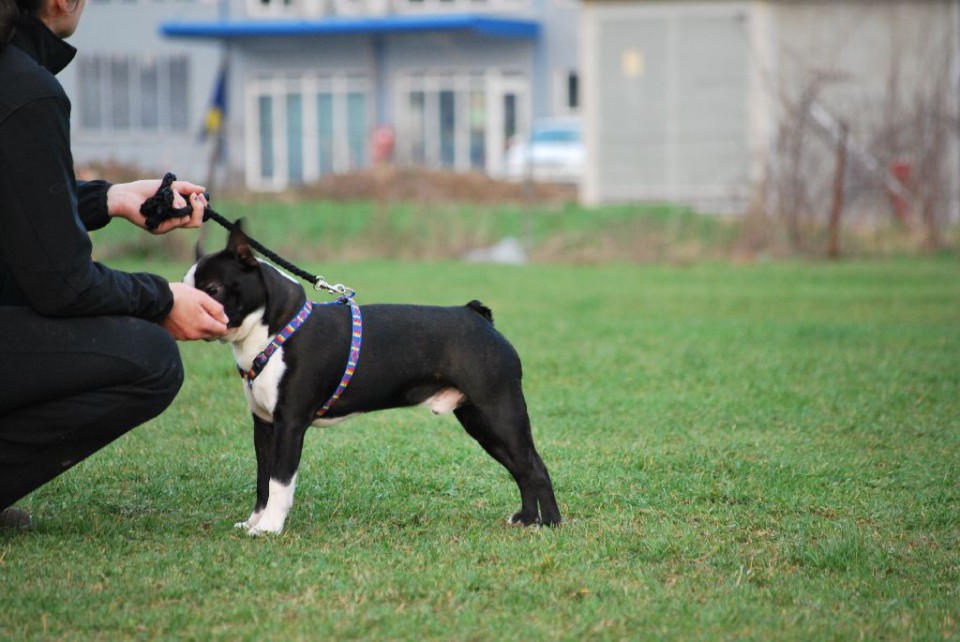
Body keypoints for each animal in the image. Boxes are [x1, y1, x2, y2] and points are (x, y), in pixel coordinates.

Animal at [184, 222, 560, 532]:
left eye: (213, 288)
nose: (190, 305)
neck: (275, 331)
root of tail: (479, 317)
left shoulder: (289, 424)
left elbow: (280, 481)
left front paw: (269, 529)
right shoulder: (264, 425)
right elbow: (263, 480)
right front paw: (254, 522)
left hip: (500, 410)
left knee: (534, 467)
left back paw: (550, 524)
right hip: (480, 421)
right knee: (519, 468)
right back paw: (526, 519)